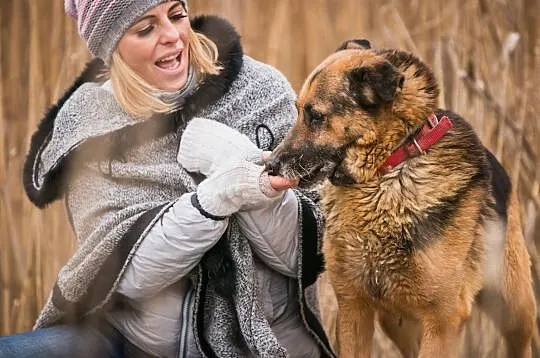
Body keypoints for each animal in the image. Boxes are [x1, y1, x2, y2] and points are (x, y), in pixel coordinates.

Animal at [266, 39, 536, 358]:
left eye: (316, 116)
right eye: (297, 111)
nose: (270, 166)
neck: (386, 173)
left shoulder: (443, 319)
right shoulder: (353, 307)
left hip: (513, 312)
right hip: (396, 321)